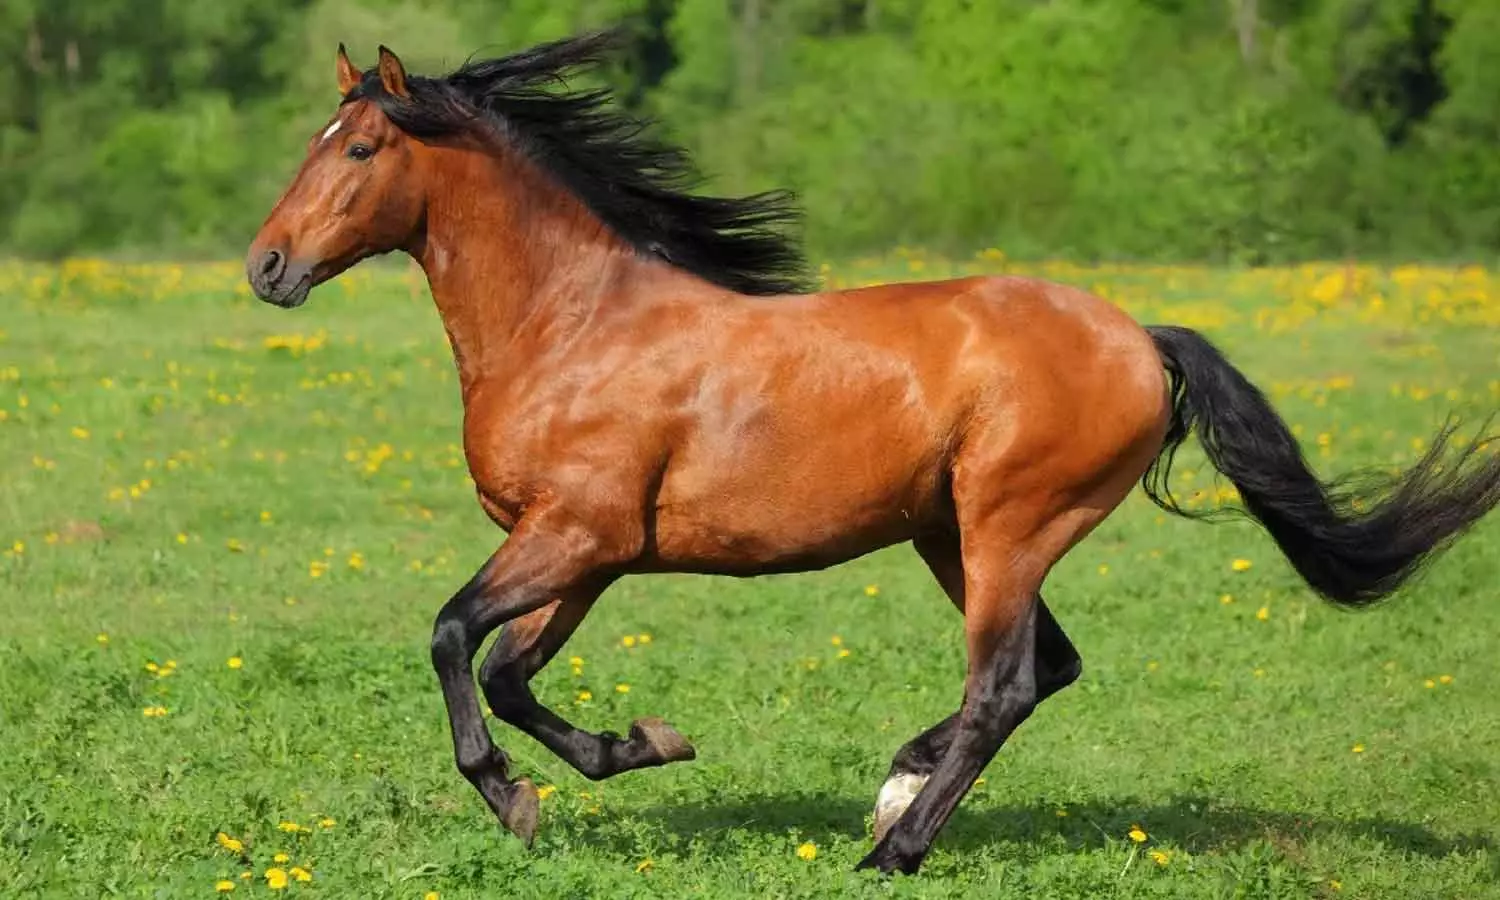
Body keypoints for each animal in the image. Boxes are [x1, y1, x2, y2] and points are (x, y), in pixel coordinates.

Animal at [244, 31, 1500, 875]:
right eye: (314, 141)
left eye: (360, 148)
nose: (267, 267)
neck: (571, 325)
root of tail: (1138, 338)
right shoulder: (586, 555)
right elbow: (510, 671)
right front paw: (640, 747)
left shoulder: (576, 533)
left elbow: (453, 636)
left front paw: (515, 800)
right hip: (950, 534)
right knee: (1049, 669)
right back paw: (896, 791)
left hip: (1008, 525)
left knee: (1004, 684)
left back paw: (894, 850)